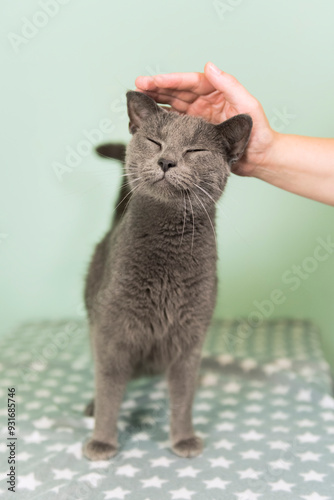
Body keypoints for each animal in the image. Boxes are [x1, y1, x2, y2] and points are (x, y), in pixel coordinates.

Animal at [82, 91, 252, 460]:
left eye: (195, 151)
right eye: (154, 142)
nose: (166, 161)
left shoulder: (190, 336)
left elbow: (183, 396)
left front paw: (184, 438)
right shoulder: (111, 332)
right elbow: (109, 389)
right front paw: (102, 441)